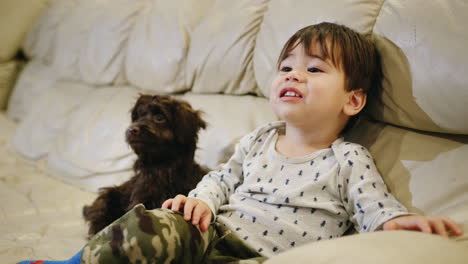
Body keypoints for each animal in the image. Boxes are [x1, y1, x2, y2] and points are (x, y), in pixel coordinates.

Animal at [83, 94, 207, 236]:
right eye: (139, 116)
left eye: (159, 117)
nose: (131, 129)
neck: (162, 166)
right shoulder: (140, 199)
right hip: (106, 198)